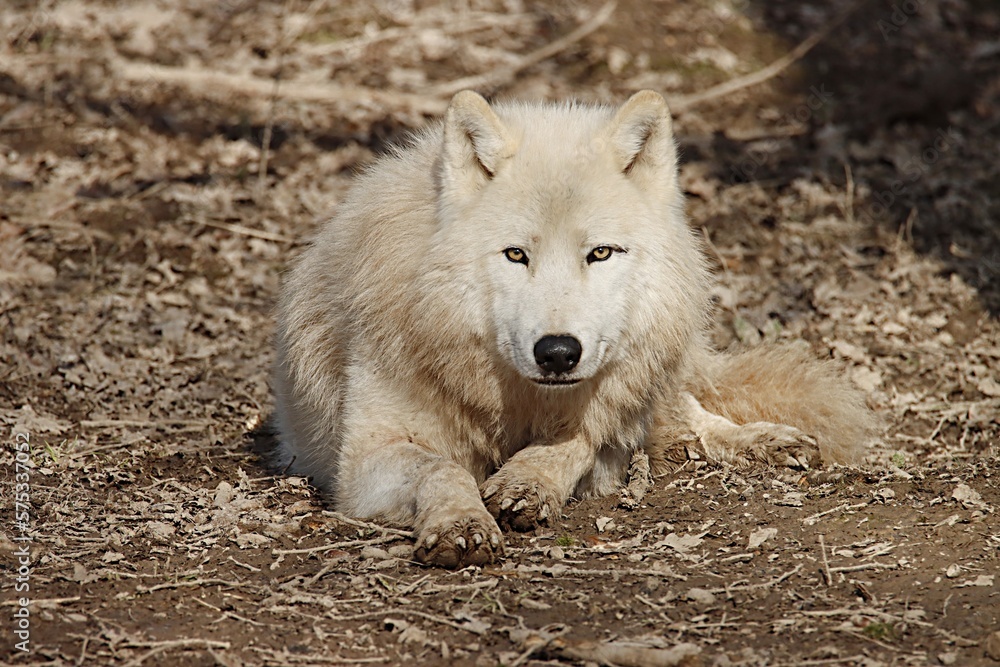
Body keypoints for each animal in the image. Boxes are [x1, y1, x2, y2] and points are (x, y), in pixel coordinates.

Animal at [272, 90, 878, 568]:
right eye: (516, 254)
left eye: (601, 253)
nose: (558, 353)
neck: (515, 402)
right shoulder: (364, 459)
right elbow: (441, 468)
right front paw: (462, 523)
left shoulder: (604, 416)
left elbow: (579, 441)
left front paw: (527, 483)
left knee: (690, 411)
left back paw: (767, 440)